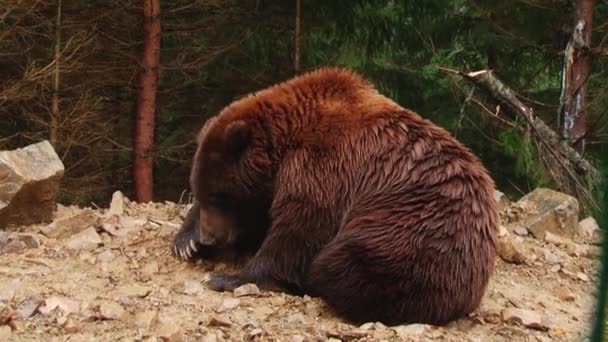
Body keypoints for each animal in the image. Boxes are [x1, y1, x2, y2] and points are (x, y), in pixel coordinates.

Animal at [177, 67, 498, 326]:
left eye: (219, 196)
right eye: (201, 193)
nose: (209, 238)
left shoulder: (325, 166)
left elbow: (298, 230)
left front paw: (228, 277)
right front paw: (186, 242)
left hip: (414, 234)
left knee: (347, 266)